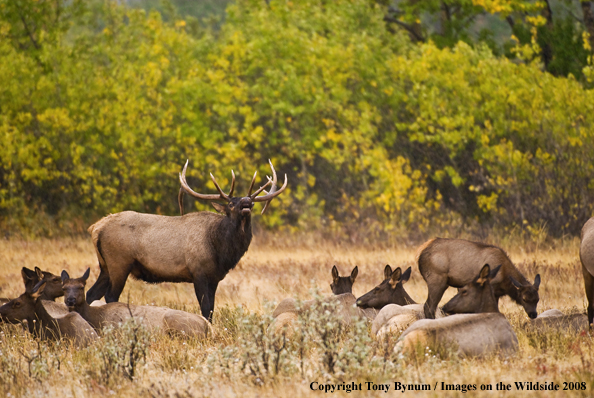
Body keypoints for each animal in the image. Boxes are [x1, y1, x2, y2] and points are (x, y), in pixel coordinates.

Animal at [85, 159, 284, 320]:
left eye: (252, 202)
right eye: (230, 203)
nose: (246, 203)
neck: (221, 251)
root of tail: (95, 228)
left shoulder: (214, 278)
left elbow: (212, 308)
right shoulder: (198, 271)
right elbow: (205, 308)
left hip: (105, 266)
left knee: (91, 293)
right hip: (119, 262)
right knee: (110, 296)